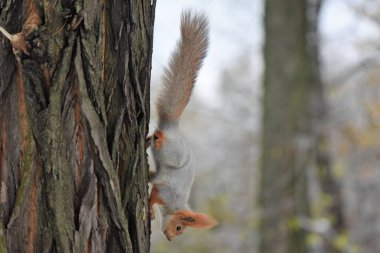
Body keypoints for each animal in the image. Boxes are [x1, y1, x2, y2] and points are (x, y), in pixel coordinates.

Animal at [148, 10, 218, 241]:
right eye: (179, 228)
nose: (170, 239)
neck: (175, 206)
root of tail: (173, 126)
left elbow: (152, 180)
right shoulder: (166, 192)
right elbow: (153, 196)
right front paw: (150, 209)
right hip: (174, 153)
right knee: (161, 137)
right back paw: (159, 139)